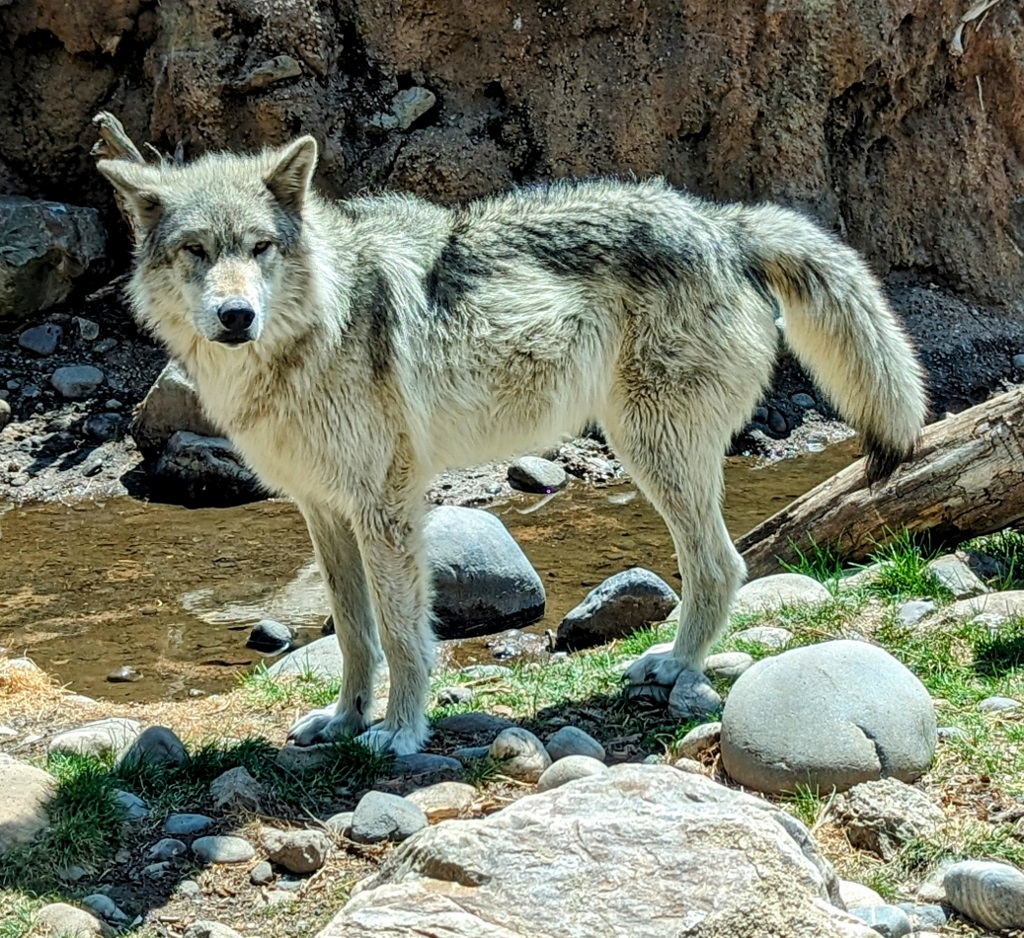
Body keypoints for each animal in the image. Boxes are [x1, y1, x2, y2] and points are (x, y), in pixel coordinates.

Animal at [98, 135, 928, 754]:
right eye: (196, 251)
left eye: (261, 247)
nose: (236, 316)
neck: (316, 328)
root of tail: (725, 224)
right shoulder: (324, 511)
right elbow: (356, 635)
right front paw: (344, 721)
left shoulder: (386, 507)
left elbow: (402, 634)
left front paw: (399, 733)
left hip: (652, 451)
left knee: (722, 566)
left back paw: (676, 669)